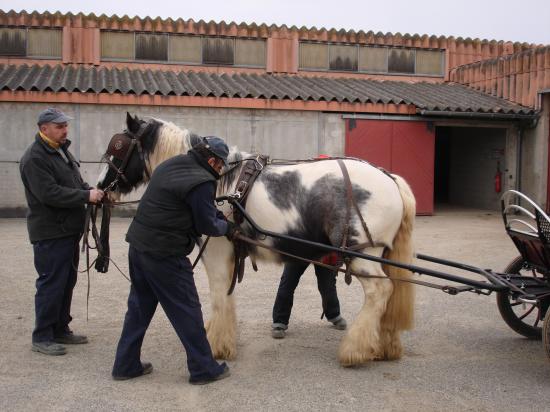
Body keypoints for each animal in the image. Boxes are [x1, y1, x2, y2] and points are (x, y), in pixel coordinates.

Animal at [100, 113, 418, 366]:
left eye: (118, 147)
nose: (102, 187)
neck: (219, 181)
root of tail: (389, 179)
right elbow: (226, 297)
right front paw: (222, 339)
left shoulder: (216, 253)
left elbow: (219, 295)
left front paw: (216, 345)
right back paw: (385, 347)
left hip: (363, 253)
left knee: (380, 291)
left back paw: (356, 349)